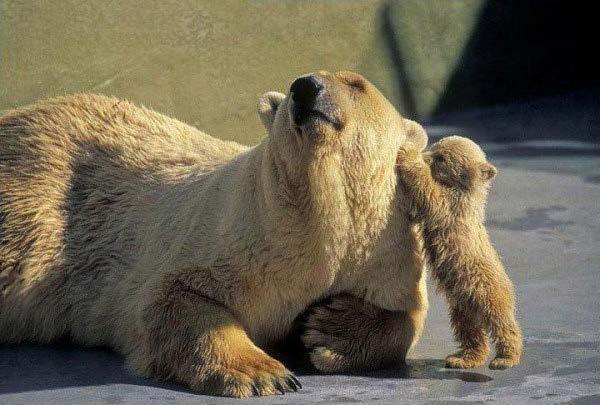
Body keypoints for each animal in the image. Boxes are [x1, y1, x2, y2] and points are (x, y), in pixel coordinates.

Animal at [2, 71, 428, 396]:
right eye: (297, 82)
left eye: (356, 84)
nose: (305, 86)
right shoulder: (235, 235)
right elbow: (174, 297)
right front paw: (263, 374)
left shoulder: (383, 251)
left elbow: (406, 316)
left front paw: (328, 330)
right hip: (31, 212)